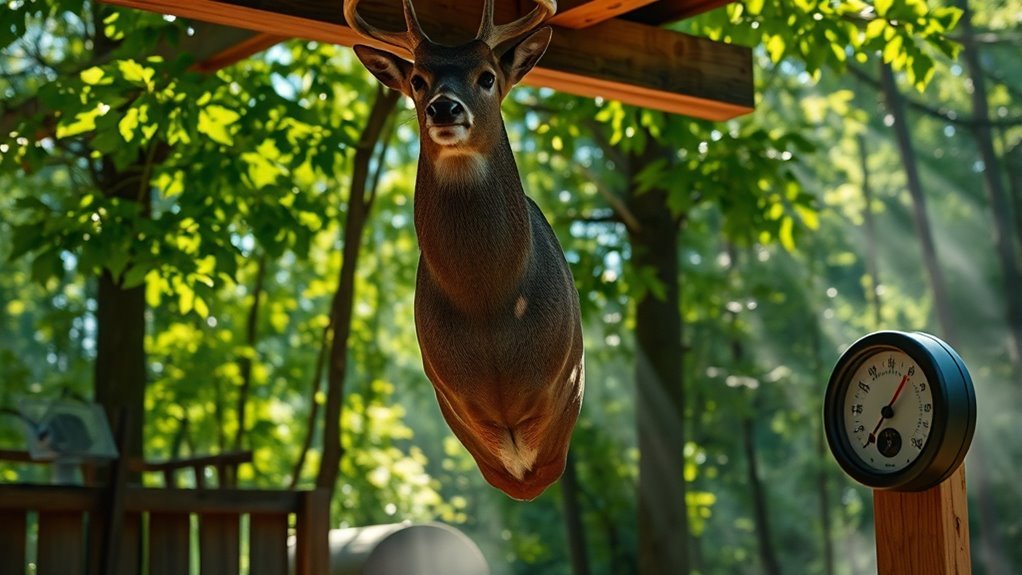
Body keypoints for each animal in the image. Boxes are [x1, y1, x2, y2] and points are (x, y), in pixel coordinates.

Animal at [344, 0, 584, 500]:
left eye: (487, 76)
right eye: (418, 80)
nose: (444, 107)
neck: (487, 306)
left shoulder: (566, 383)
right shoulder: (452, 400)